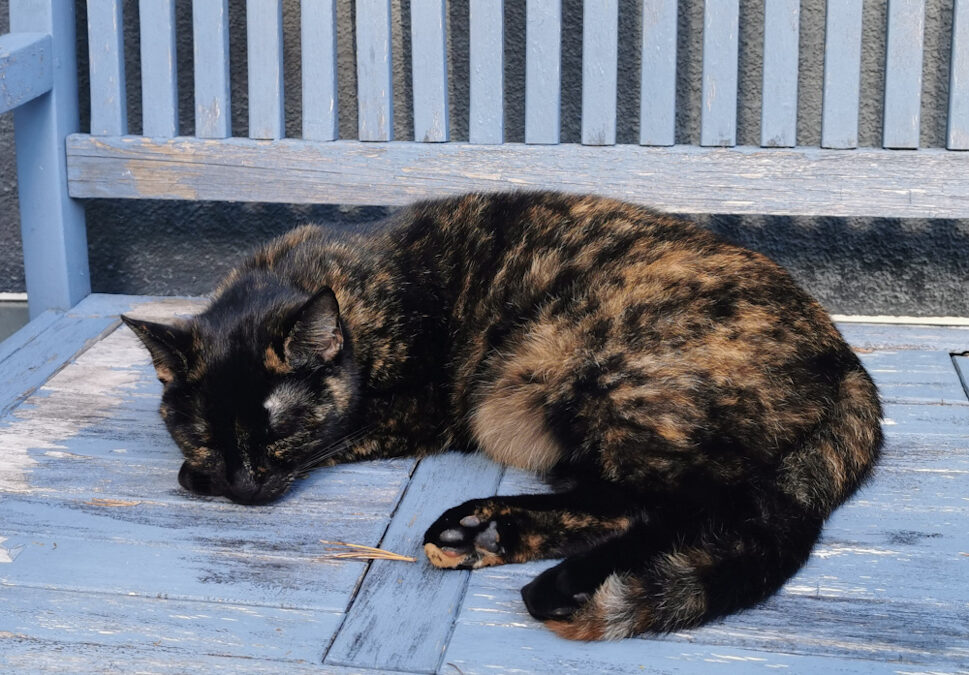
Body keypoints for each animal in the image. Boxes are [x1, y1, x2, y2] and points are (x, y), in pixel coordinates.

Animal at [122, 191, 882, 641]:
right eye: (201, 430)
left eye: (280, 428)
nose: (243, 484)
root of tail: (845, 356)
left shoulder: (414, 411)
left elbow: (337, 437)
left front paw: (199, 477)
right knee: (623, 502)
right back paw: (481, 534)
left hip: (591, 374)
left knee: (696, 504)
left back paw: (558, 579)